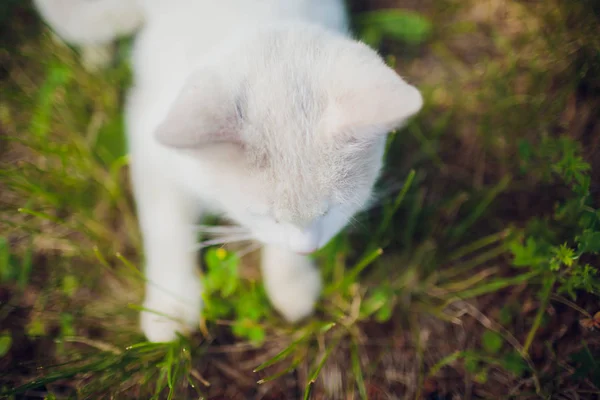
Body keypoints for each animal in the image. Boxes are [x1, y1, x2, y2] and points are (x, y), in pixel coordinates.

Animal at [32, 0, 422, 344]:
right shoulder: (150, 145)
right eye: (265, 214)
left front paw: (291, 282)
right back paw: (97, 58)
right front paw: (170, 305)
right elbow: (167, 229)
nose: (305, 251)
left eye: (331, 211)